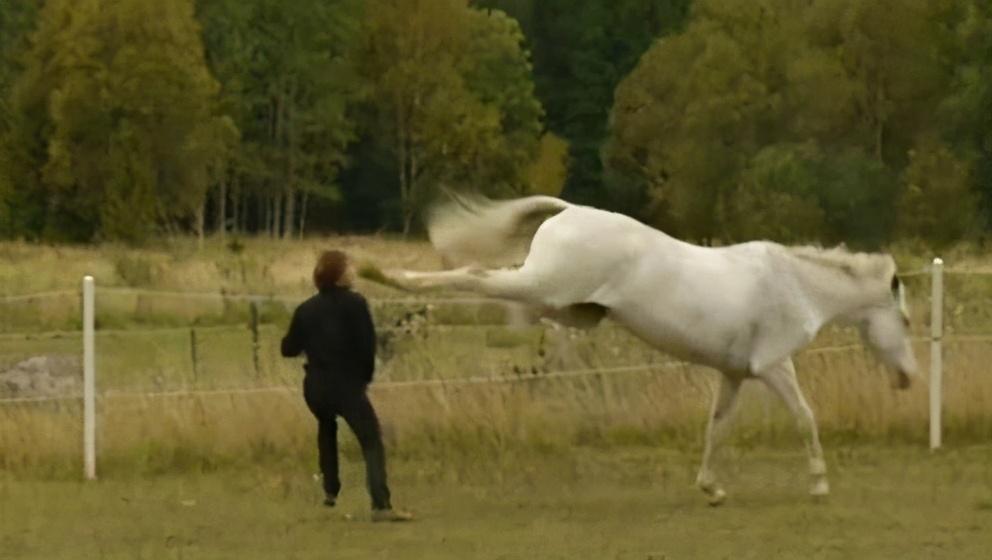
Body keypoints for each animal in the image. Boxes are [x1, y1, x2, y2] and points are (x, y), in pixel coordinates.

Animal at [360, 195, 920, 506]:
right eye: (907, 321)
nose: (910, 378)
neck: (795, 285)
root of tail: (568, 211)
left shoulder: (734, 374)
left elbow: (716, 428)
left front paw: (711, 488)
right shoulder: (775, 367)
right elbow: (806, 418)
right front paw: (819, 486)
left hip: (564, 306)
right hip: (542, 286)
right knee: (475, 276)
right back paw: (380, 273)